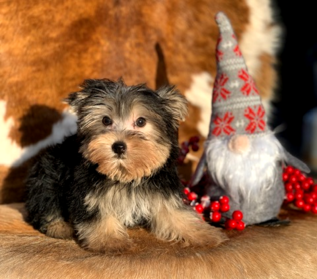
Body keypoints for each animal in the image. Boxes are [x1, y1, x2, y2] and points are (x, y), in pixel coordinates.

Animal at [25, 79, 226, 254]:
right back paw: (59, 227)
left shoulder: (163, 193)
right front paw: (110, 241)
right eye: (106, 120)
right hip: (47, 174)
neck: (126, 176)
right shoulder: (87, 193)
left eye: (141, 121)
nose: (118, 146)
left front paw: (205, 234)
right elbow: (98, 213)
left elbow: (178, 214)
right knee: (46, 203)